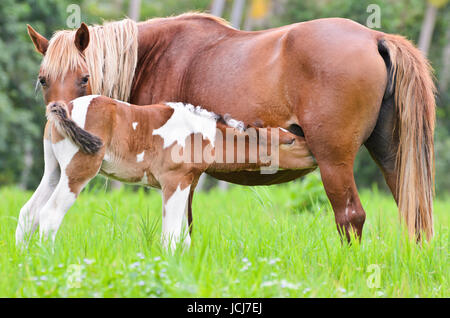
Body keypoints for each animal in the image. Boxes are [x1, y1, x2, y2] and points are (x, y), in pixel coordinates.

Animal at [15, 95, 314, 250]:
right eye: (289, 140)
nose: (314, 152)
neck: (200, 134)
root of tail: (64, 107)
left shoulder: (186, 184)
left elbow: (183, 237)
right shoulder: (174, 182)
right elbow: (171, 236)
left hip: (54, 171)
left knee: (29, 212)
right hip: (79, 170)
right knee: (50, 214)